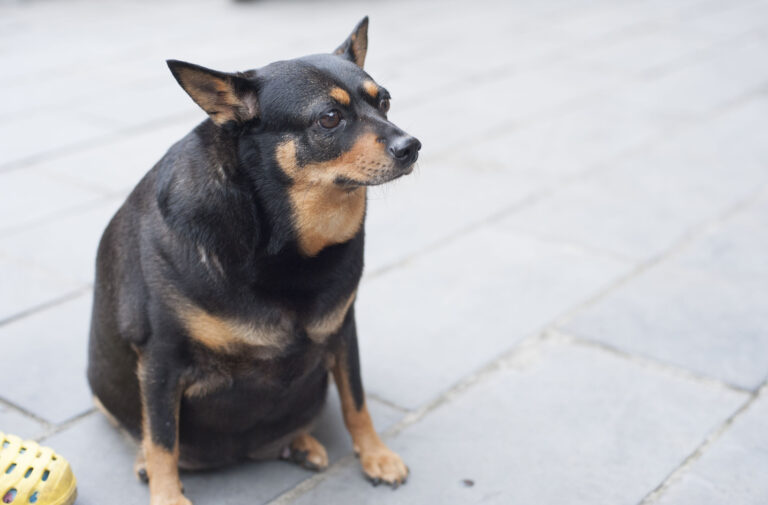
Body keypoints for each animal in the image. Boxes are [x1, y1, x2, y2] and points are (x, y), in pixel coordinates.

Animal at [88, 16, 424, 504]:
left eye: (385, 101)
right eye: (330, 117)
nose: (411, 145)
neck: (287, 246)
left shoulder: (343, 332)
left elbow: (356, 401)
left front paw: (375, 455)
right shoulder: (161, 360)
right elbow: (163, 439)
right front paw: (168, 495)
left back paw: (300, 443)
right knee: (146, 436)